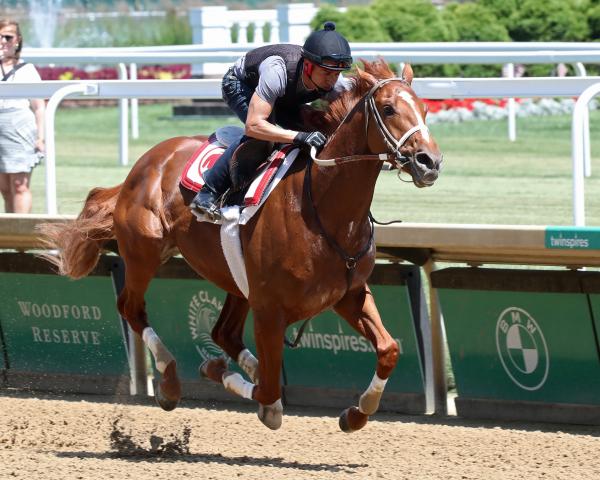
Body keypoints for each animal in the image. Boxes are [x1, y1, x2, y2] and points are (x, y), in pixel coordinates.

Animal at [41, 59, 440, 432]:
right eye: (388, 109)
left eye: (424, 108)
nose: (430, 161)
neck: (324, 206)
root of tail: (140, 168)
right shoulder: (270, 310)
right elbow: (268, 395)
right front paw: (224, 375)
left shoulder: (348, 294)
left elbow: (389, 349)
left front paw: (356, 413)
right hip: (144, 253)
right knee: (132, 308)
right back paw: (169, 381)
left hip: (236, 279)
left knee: (224, 333)